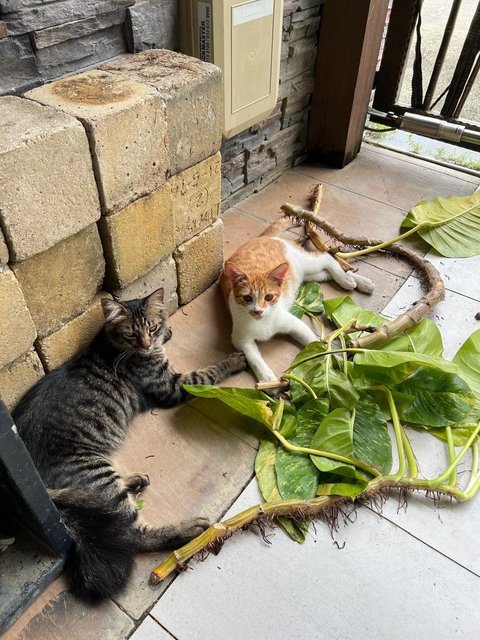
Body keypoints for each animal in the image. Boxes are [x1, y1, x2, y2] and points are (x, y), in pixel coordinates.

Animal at [13, 288, 246, 600]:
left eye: (151, 328)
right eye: (131, 334)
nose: (147, 345)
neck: (110, 343)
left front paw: (167, 331)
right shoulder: (173, 386)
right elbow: (208, 373)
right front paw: (235, 361)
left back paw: (134, 481)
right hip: (94, 469)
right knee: (133, 534)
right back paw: (187, 530)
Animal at [220, 218, 376, 382]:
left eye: (269, 297)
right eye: (247, 298)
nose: (258, 311)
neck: (264, 321)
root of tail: (261, 238)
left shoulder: (295, 324)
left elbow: (314, 343)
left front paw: (335, 360)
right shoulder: (241, 339)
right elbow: (254, 358)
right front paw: (267, 378)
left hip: (305, 263)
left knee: (326, 257)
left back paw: (350, 280)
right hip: (308, 274)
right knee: (326, 272)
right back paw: (355, 281)